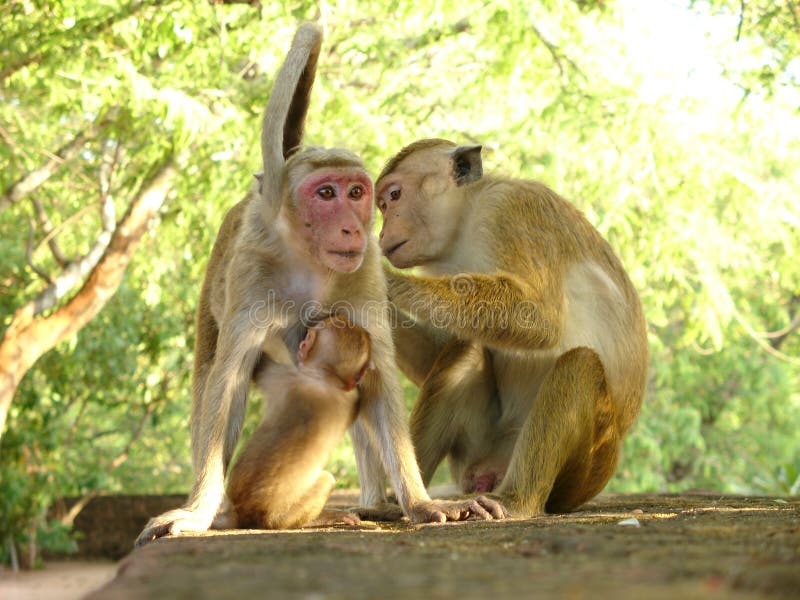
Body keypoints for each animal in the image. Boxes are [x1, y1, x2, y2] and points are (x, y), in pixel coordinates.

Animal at [228, 316, 372, 528]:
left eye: (309, 337)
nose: (303, 343)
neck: (324, 377)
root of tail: (244, 513)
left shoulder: (285, 374)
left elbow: (262, 363)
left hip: (275, 515)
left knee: (326, 479)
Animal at [376, 139, 648, 516]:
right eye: (383, 204)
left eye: (394, 195)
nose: (382, 231)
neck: (464, 225)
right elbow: (438, 353)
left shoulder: (510, 210)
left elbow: (542, 318)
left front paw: (393, 284)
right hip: (475, 451)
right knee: (466, 351)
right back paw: (411, 505)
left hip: (586, 468)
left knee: (579, 366)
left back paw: (517, 501)